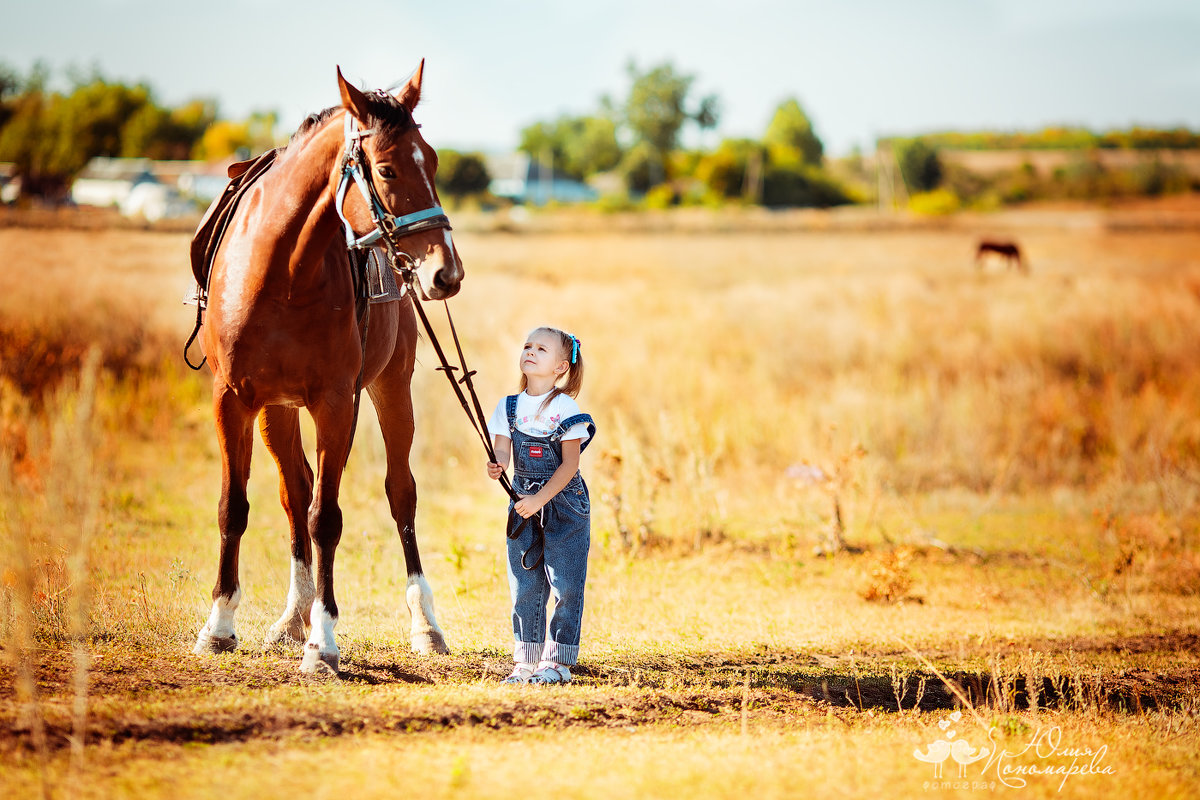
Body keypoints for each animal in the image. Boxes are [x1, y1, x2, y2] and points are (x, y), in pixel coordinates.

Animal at [189, 64, 460, 676]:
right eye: (386, 168)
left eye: (433, 161)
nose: (446, 273)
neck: (280, 271)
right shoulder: (233, 399)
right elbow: (235, 508)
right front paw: (218, 625)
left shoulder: (336, 403)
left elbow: (326, 519)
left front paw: (324, 641)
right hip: (276, 412)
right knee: (294, 493)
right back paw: (292, 617)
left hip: (390, 390)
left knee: (400, 494)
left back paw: (424, 625)